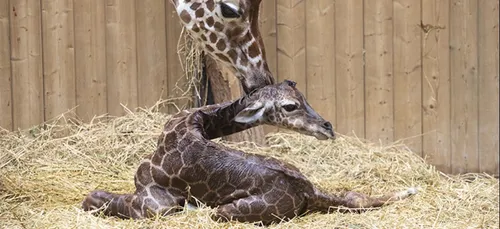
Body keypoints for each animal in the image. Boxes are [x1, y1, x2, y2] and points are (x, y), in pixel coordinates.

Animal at [83, 79, 418, 225]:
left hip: (225, 211)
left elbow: (93, 196)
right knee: (355, 196)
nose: (328, 127)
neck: (193, 122)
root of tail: (308, 192)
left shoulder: (153, 201)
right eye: (291, 105)